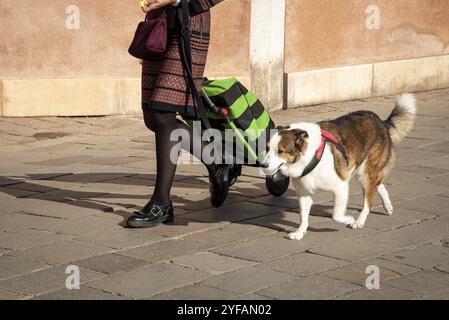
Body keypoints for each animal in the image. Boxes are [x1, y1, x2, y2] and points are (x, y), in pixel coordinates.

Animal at [260, 94, 414, 240]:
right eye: (267, 148)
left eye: (280, 151)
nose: (262, 165)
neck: (309, 156)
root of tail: (381, 121)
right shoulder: (304, 193)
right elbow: (303, 216)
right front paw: (300, 232)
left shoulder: (341, 187)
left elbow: (336, 215)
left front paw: (349, 219)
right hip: (364, 170)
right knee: (377, 185)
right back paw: (388, 206)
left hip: (365, 171)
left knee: (368, 199)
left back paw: (359, 221)